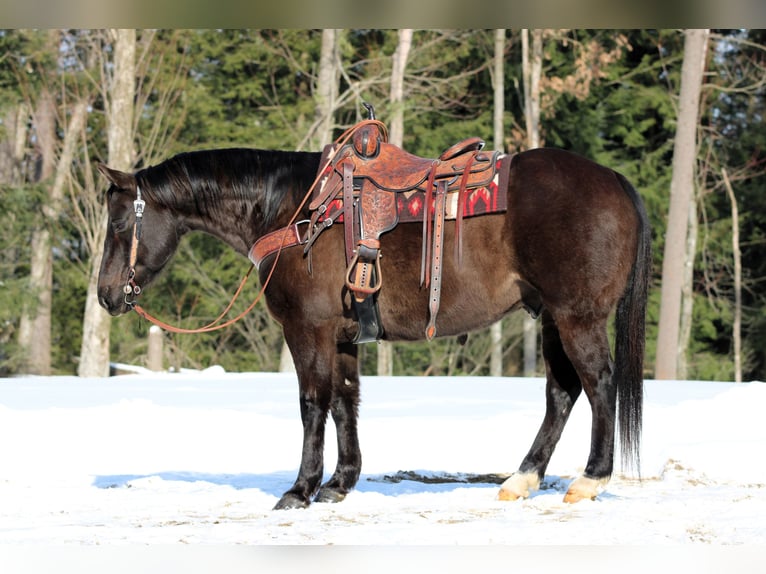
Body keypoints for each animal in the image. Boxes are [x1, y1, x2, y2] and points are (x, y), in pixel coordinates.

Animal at [96, 142, 651, 509]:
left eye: (119, 224)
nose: (106, 295)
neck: (292, 211)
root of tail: (615, 180)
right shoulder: (342, 336)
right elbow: (345, 401)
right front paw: (339, 483)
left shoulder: (307, 330)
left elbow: (312, 403)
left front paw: (301, 488)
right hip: (552, 318)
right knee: (562, 392)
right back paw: (523, 478)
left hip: (576, 316)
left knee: (598, 383)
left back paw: (591, 479)